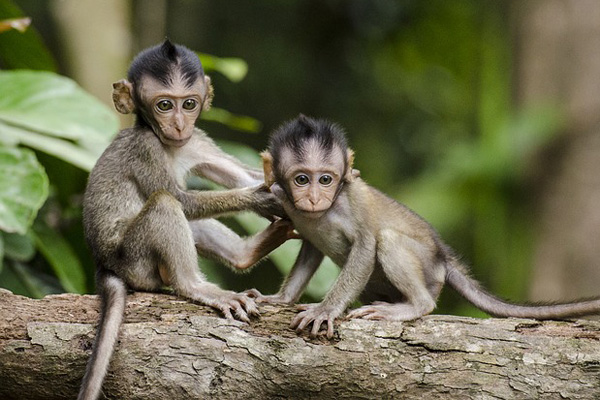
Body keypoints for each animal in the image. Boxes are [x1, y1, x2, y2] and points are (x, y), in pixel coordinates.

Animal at [78, 40, 290, 400]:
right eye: (164, 105)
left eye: (189, 104)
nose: (178, 125)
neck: (168, 144)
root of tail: (103, 263)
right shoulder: (146, 148)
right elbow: (181, 199)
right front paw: (262, 198)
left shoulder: (197, 140)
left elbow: (240, 175)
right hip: (134, 260)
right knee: (165, 204)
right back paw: (195, 285)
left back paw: (247, 253)